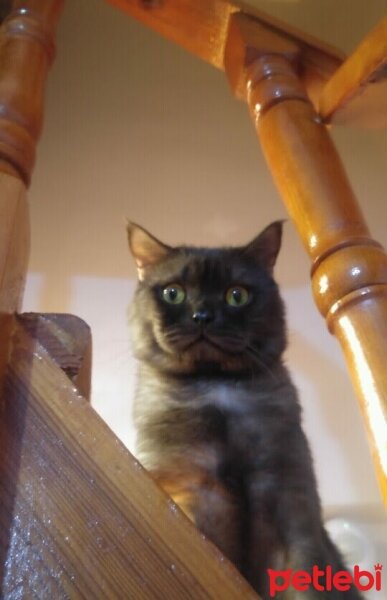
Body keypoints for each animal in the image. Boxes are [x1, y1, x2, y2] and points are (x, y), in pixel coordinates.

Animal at [127, 221, 364, 600]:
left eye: (236, 295)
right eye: (173, 293)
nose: (203, 316)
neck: (217, 387)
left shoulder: (290, 503)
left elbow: (305, 580)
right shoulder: (189, 492)